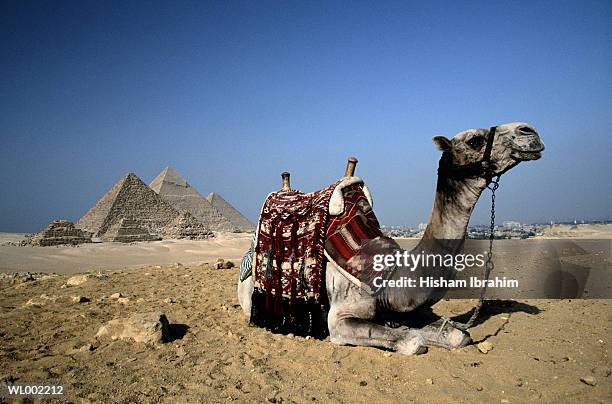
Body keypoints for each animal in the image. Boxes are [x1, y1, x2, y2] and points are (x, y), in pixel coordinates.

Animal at [238, 121, 544, 356]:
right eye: (475, 140)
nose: (529, 131)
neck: (391, 274)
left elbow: (458, 336)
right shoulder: (339, 319)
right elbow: (413, 341)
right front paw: (407, 333)